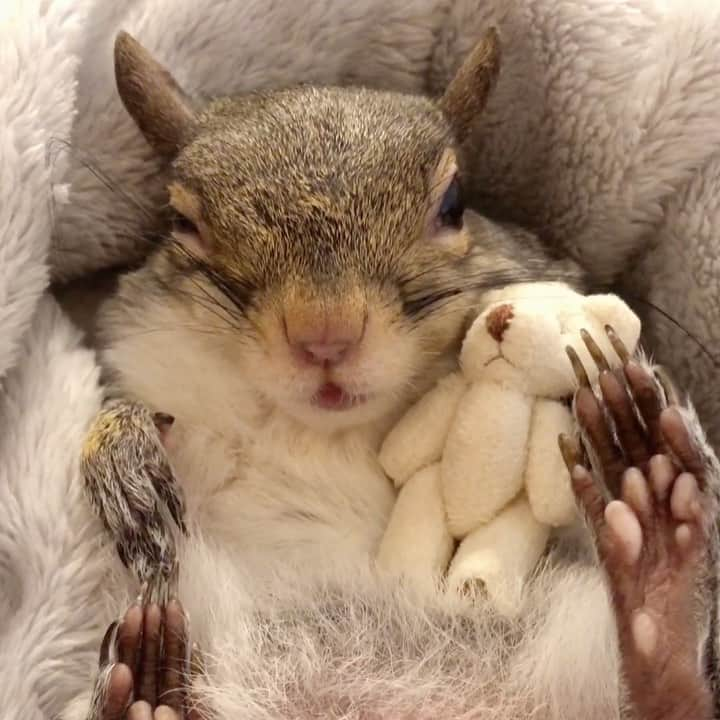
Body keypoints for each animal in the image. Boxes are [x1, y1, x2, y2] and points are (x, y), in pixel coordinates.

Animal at [74, 26, 720, 720]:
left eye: (456, 204)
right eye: (181, 222)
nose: (324, 335)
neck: (320, 433)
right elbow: (127, 413)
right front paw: (121, 453)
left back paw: (652, 525)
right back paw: (150, 685)